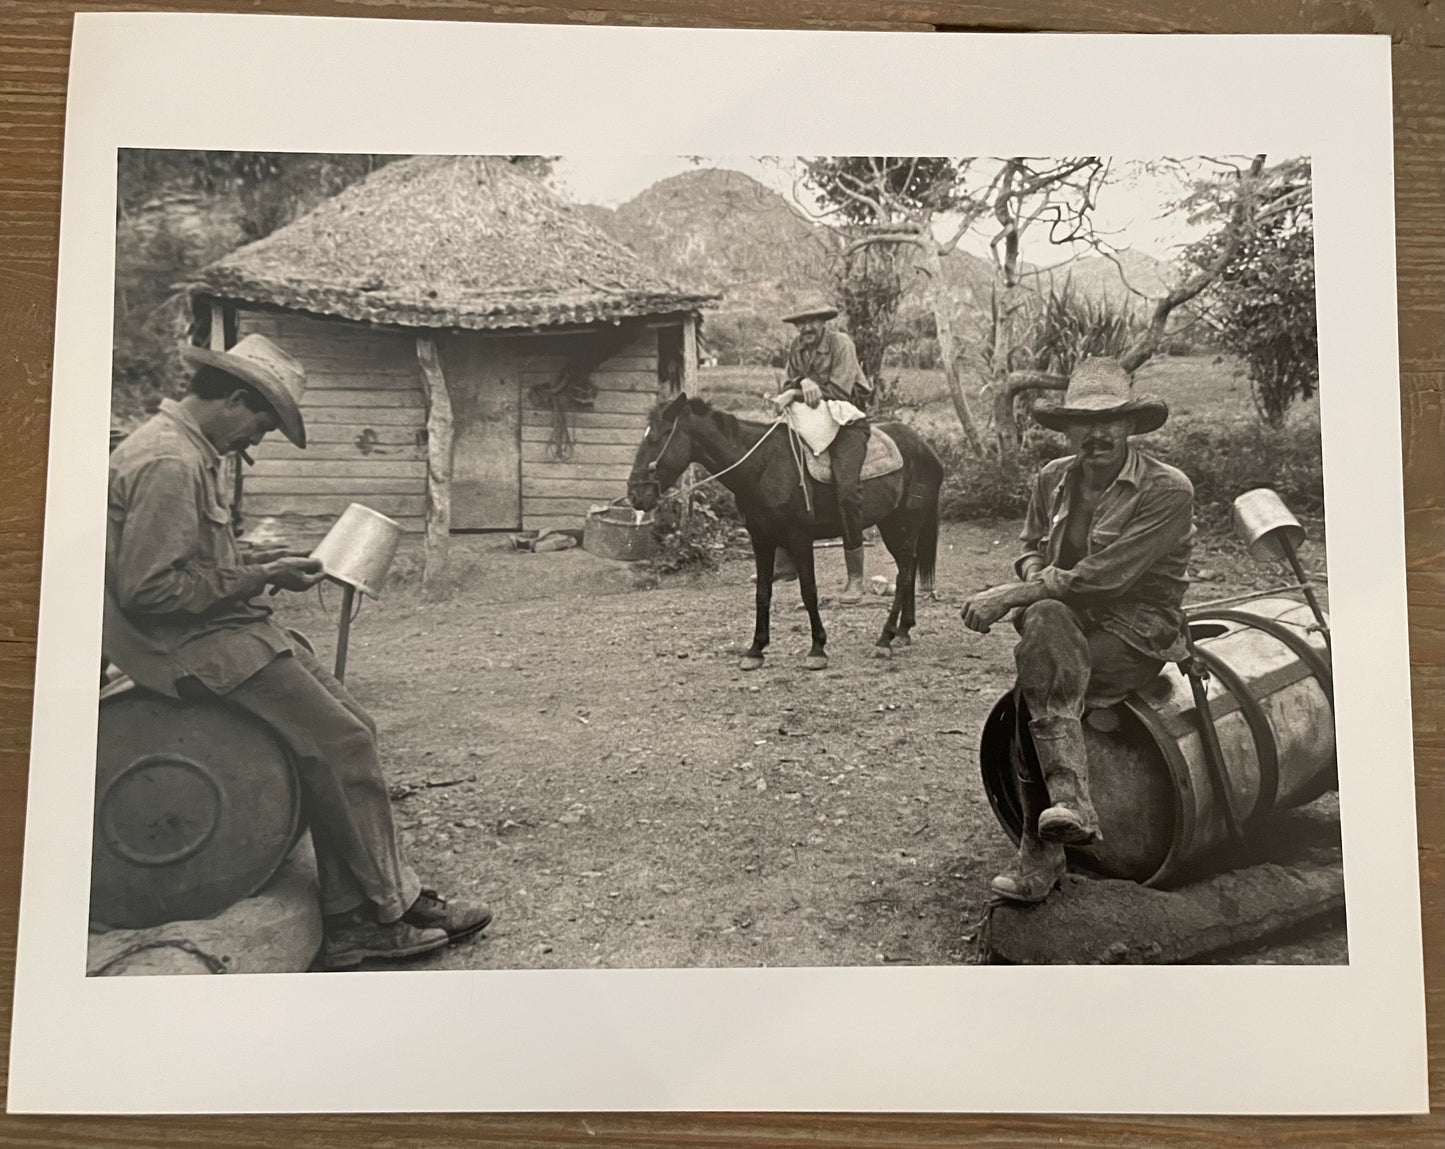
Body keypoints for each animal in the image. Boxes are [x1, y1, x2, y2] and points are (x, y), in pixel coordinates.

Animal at [624, 390, 942, 670]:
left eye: (656, 437)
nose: (635, 495)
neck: (762, 467)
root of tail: (926, 448)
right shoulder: (761, 539)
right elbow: (762, 592)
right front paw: (755, 650)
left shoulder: (799, 538)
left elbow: (808, 591)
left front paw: (817, 649)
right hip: (892, 524)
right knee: (909, 569)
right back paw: (903, 632)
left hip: (904, 524)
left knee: (904, 575)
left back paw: (885, 639)